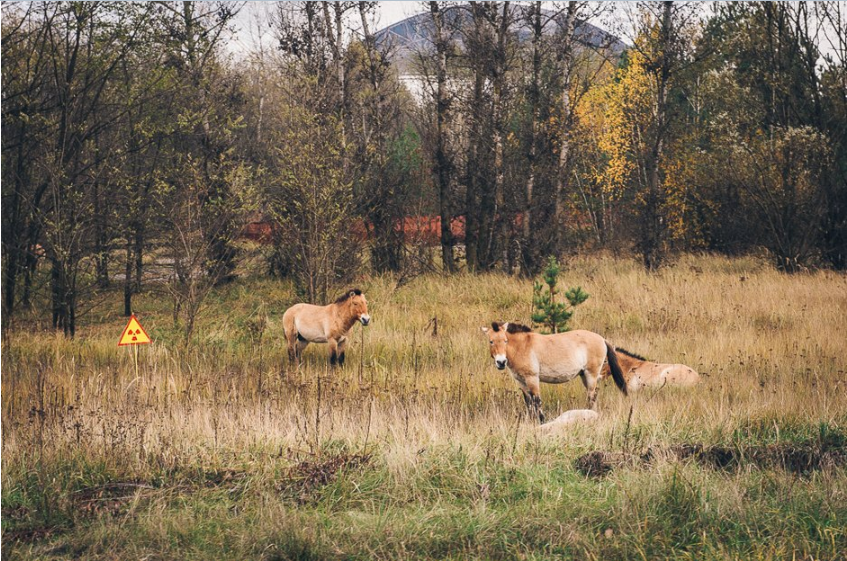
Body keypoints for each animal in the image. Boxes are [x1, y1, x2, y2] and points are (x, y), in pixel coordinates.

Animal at [480, 322, 628, 422]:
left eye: (505, 340)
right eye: (491, 341)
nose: (501, 362)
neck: (522, 347)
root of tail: (602, 339)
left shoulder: (532, 379)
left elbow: (537, 402)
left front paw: (541, 422)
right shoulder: (521, 381)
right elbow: (529, 404)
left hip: (591, 374)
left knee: (591, 396)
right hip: (584, 376)